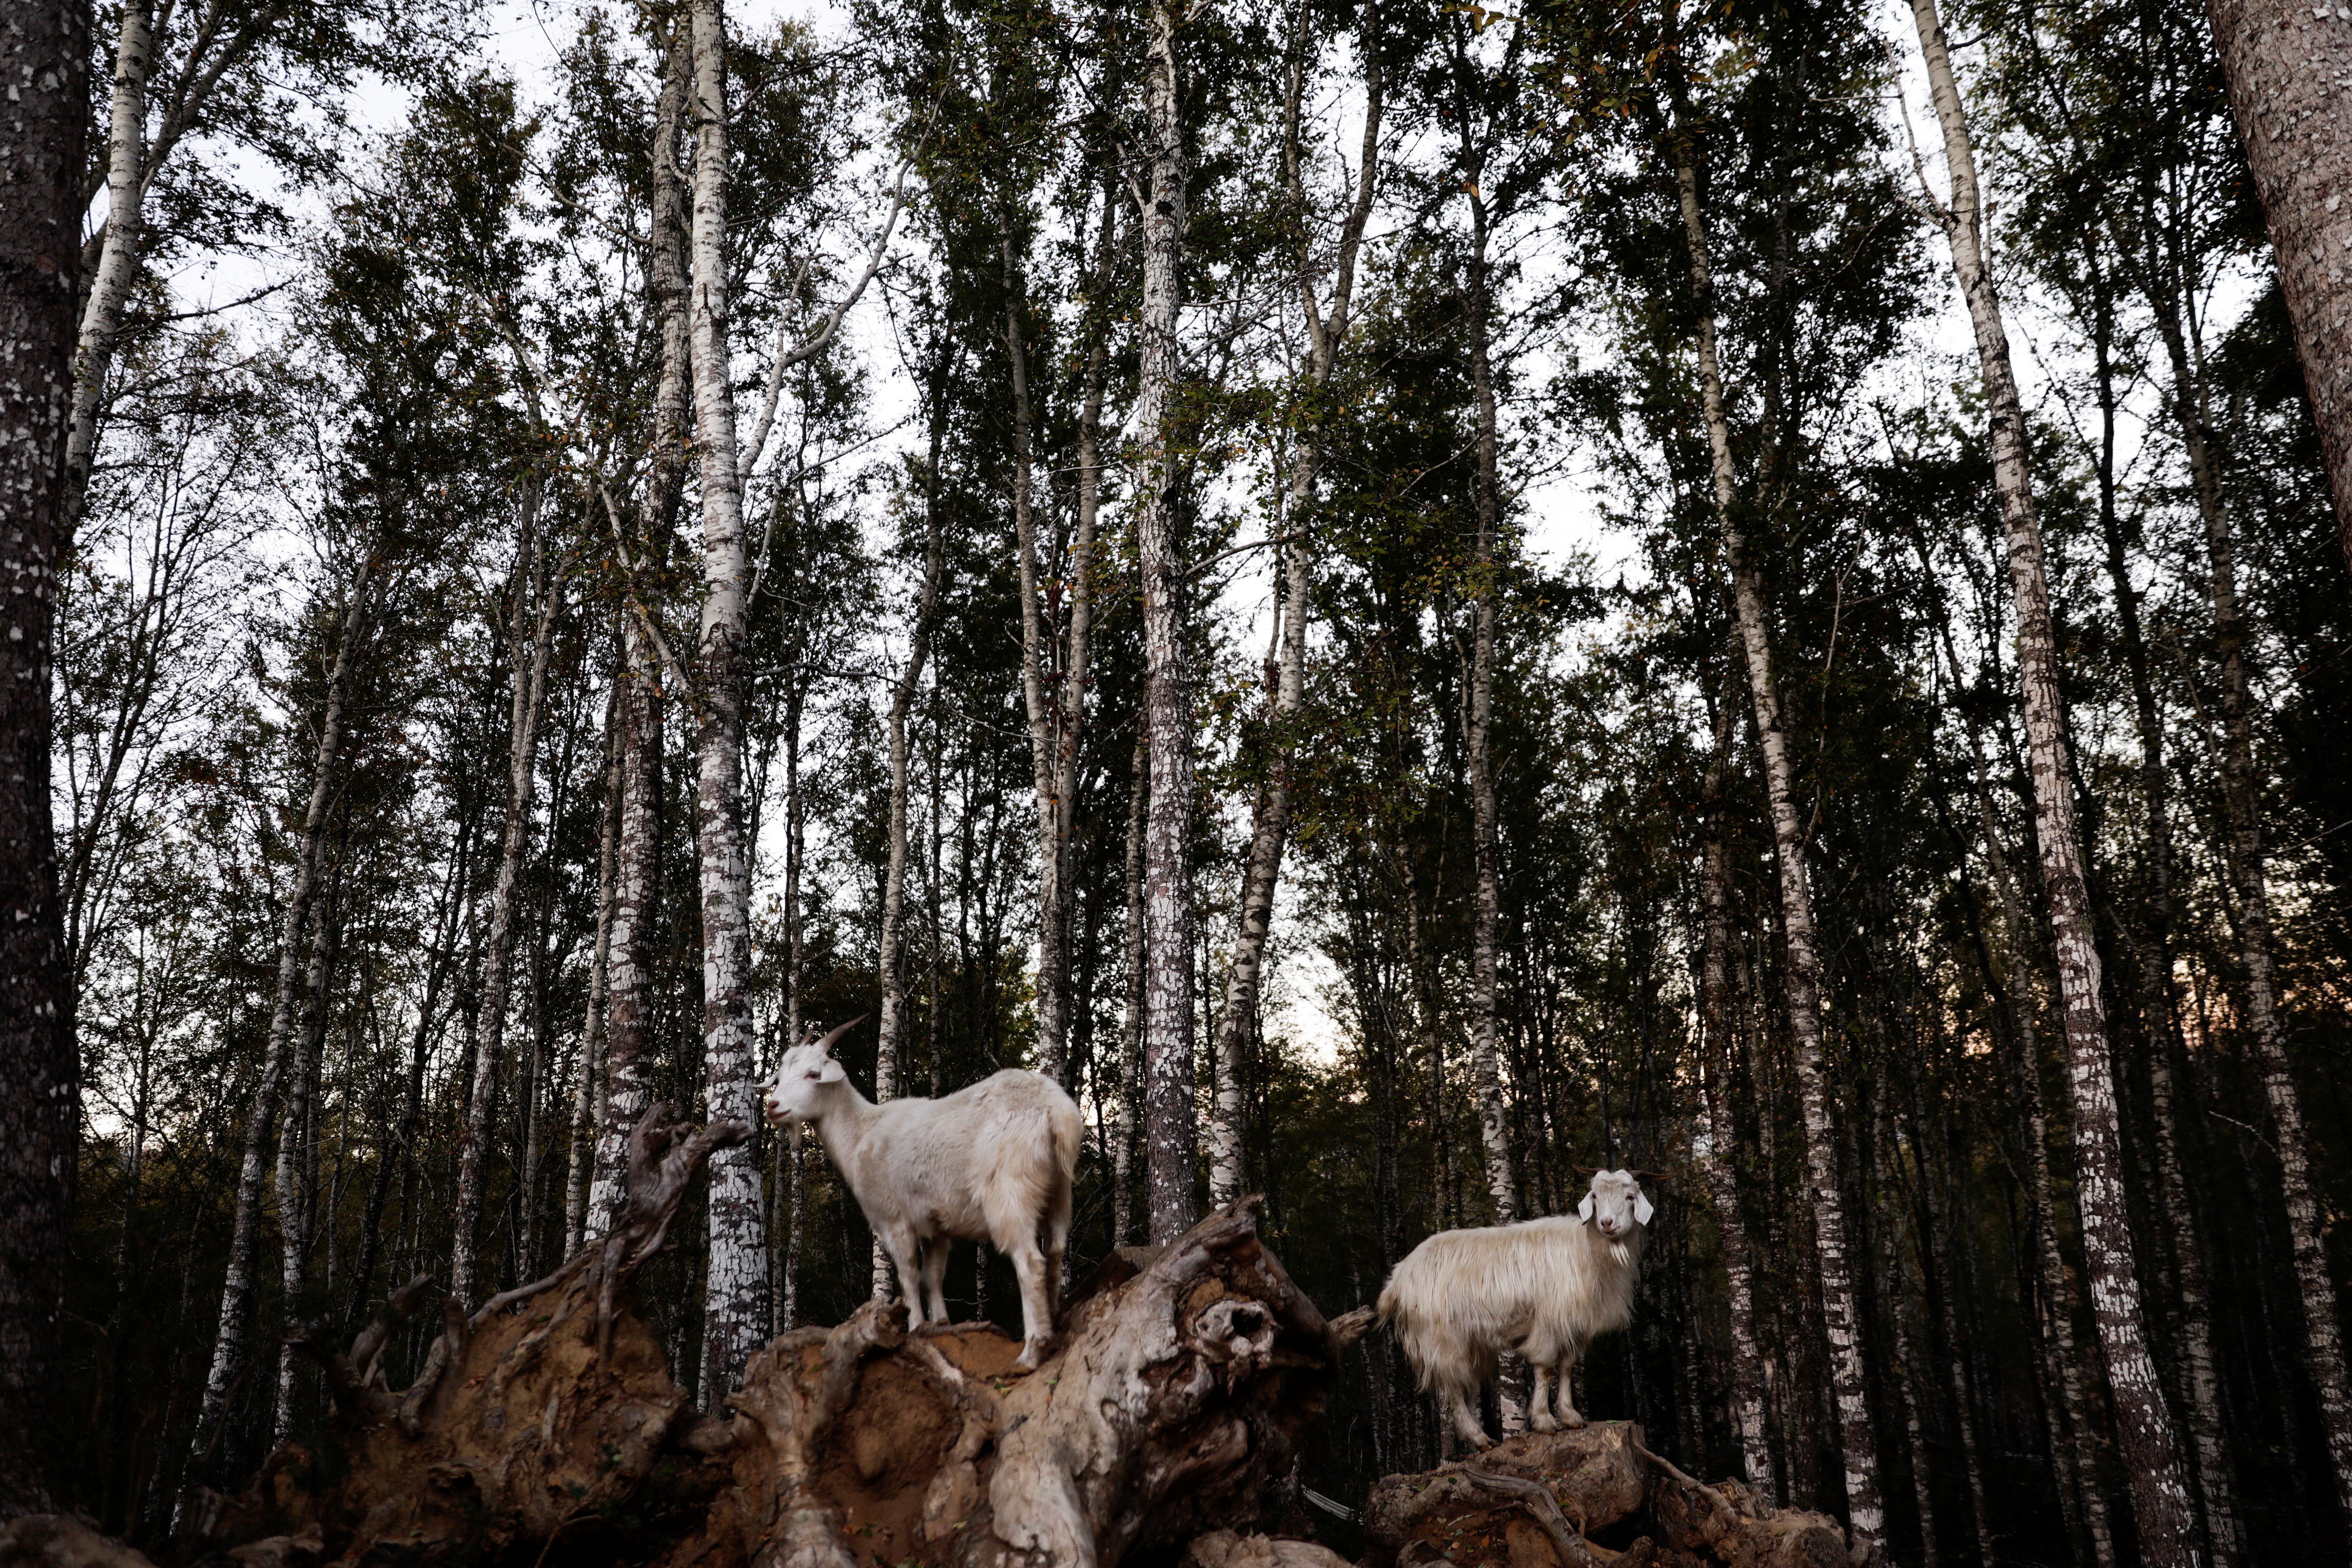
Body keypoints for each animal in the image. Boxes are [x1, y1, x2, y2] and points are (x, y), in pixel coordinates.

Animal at [763, 1018, 1081, 1369]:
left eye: (813, 1074)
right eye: (781, 1077)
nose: (773, 1107)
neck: (861, 1134)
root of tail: (1054, 1111)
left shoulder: (894, 1220)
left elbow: (909, 1276)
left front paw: (914, 1328)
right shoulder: (936, 1227)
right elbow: (932, 1276)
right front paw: (940, 1324)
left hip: (1010, 1193)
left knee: (1030, 1262)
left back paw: (1032, 1350)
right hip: (1058, 1190)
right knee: (1056, 1251)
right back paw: (1052, 1326)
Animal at [1375, 1168, 1655, 1448]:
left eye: (1630, 1196)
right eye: (1595, 1196)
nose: (1607, 1223)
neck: (1586, 1250)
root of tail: (1398, 1278)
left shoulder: (1575, 1328)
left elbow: (1567, 1367)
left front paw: (1570, 1416)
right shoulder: (1548, 1324)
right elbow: (1546, 1369)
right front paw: (1544, 1421)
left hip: (1472, 1345)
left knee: (1467, 1386)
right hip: (1442, 1340)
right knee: (1453, 1387)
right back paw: (1478, 1437)